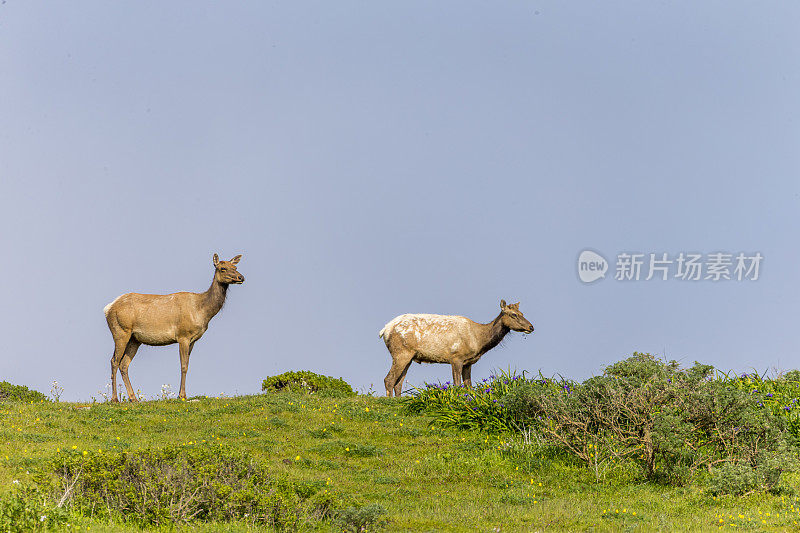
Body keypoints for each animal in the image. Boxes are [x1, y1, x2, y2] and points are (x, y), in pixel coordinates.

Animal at [104, 252, 245, 400]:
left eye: (235, 267)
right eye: (222, 268)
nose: (241, 277)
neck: (202, 311)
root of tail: (108, 308)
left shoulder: (193, 340)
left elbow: (187, 364)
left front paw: (182, 394)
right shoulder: (183, 335)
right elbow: (183, 366)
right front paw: (182, 395)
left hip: (134, 339)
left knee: (124, 364)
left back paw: (133, 398)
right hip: (120, 331)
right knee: (114, 361)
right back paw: (115, 399)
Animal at [380, 300, 536, 394]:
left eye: (522, 313)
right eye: (514, 315)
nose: (531, 327)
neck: (478, 341)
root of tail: (385, 330)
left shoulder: (468, 362)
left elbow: (469, 387)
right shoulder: (456, 357)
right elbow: (457, 385)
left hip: (410, 356)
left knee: (398, 383)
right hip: (401, 352)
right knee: (389, 380)